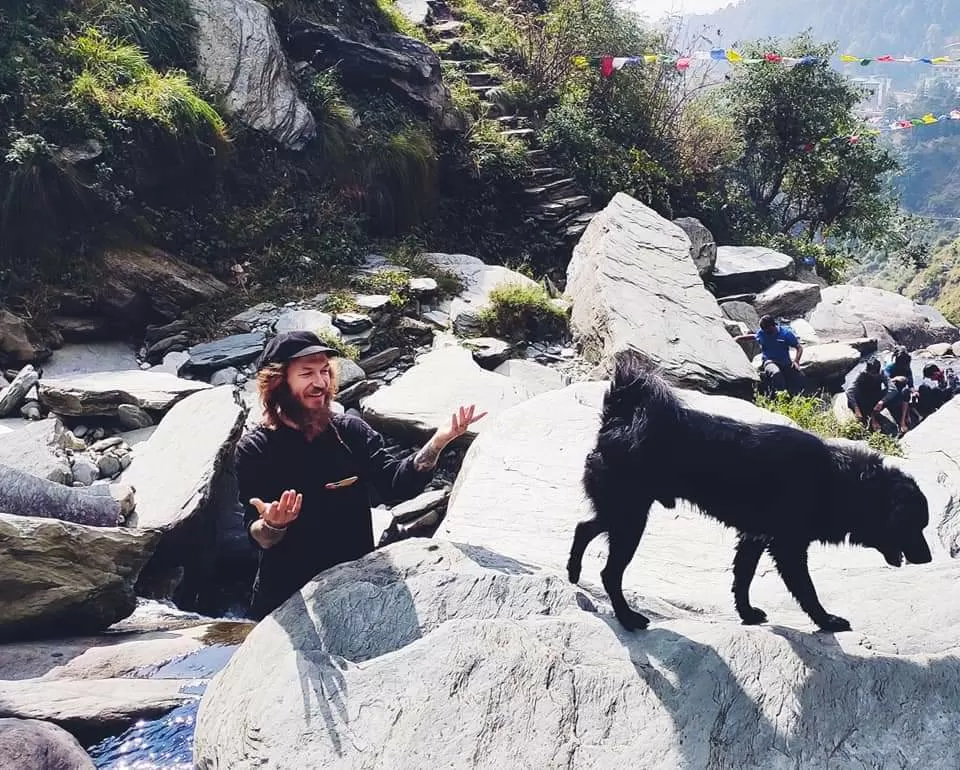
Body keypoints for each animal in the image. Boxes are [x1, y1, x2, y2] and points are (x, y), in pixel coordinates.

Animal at [568, 348, 932, 632]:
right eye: (914, 525)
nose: (928, 558)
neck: (837, 480)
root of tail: (618, 418)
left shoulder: (754, 537)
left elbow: (742, 578)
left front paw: (746, 613)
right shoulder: (787, 546)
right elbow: (806, 590)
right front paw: (826, 621)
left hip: (622, 512)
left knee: (584, 527)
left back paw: (573, 573)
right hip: (630, 517)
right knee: (609, 572)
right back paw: (627, 618)